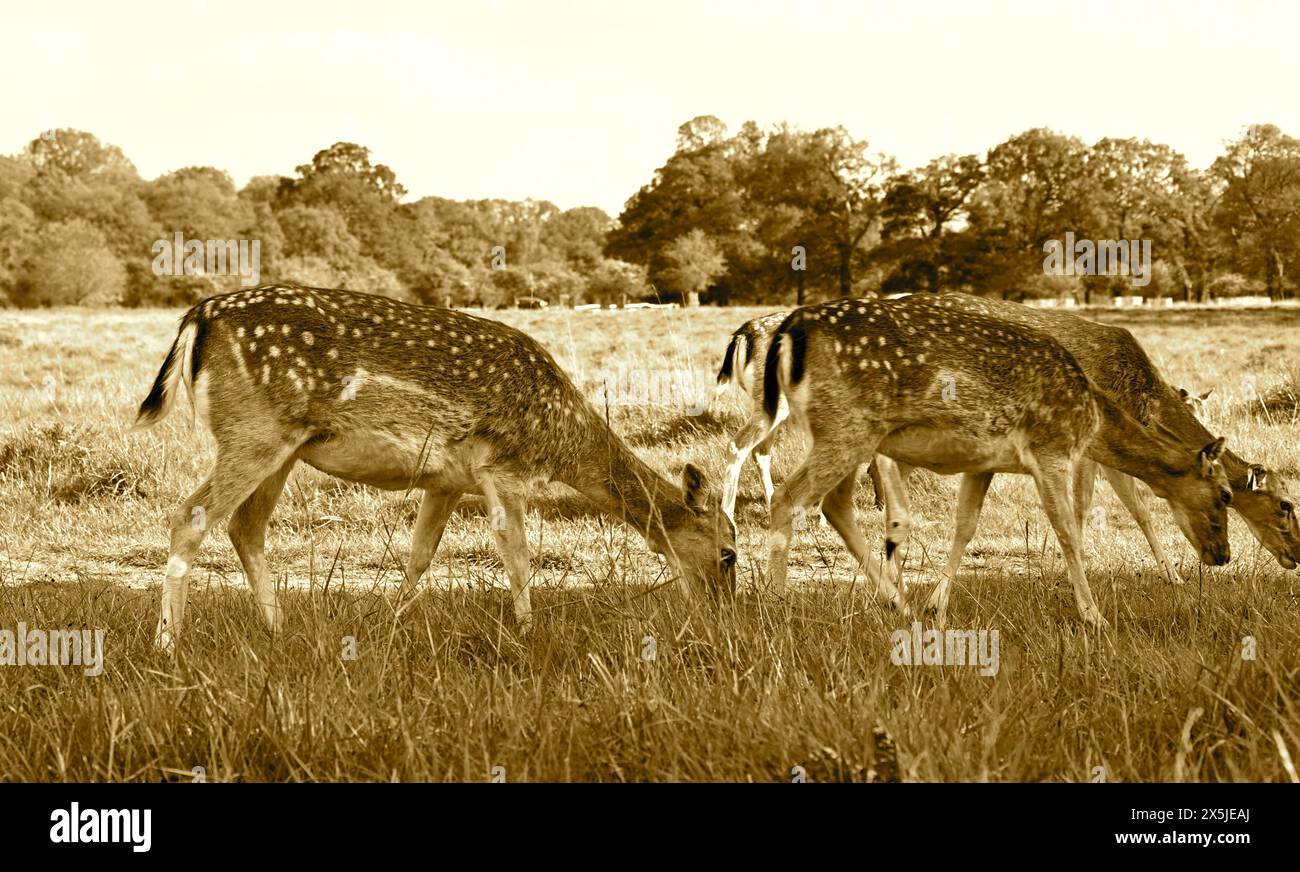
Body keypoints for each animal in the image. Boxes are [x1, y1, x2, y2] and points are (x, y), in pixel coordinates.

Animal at [132, 283, 736, 650]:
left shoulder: (446, 480)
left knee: (244, 526)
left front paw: (393, 623)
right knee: (191, 515)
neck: (562, 439)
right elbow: (518, 557)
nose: (725, 614)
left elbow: (420, 555)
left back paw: (281, 629)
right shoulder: (503, 467)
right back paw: (167, 642)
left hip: (282, 444)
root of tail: (196, 318)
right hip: (254, 430)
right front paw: (528, 631)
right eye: (729, 554)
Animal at [760, 296, 1234, 629]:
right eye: (1226, 494)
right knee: (788, 496)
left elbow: (966, 525)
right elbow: (1068, 530)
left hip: (852, 434)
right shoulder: (1050, 448)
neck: (1093, 416)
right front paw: (1093, 616)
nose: (1224, 556)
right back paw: (778, 605)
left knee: (835, 503)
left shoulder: (984, 462)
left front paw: (936, 608)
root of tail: (789, 331)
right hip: (846, 427)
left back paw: (898, 603)